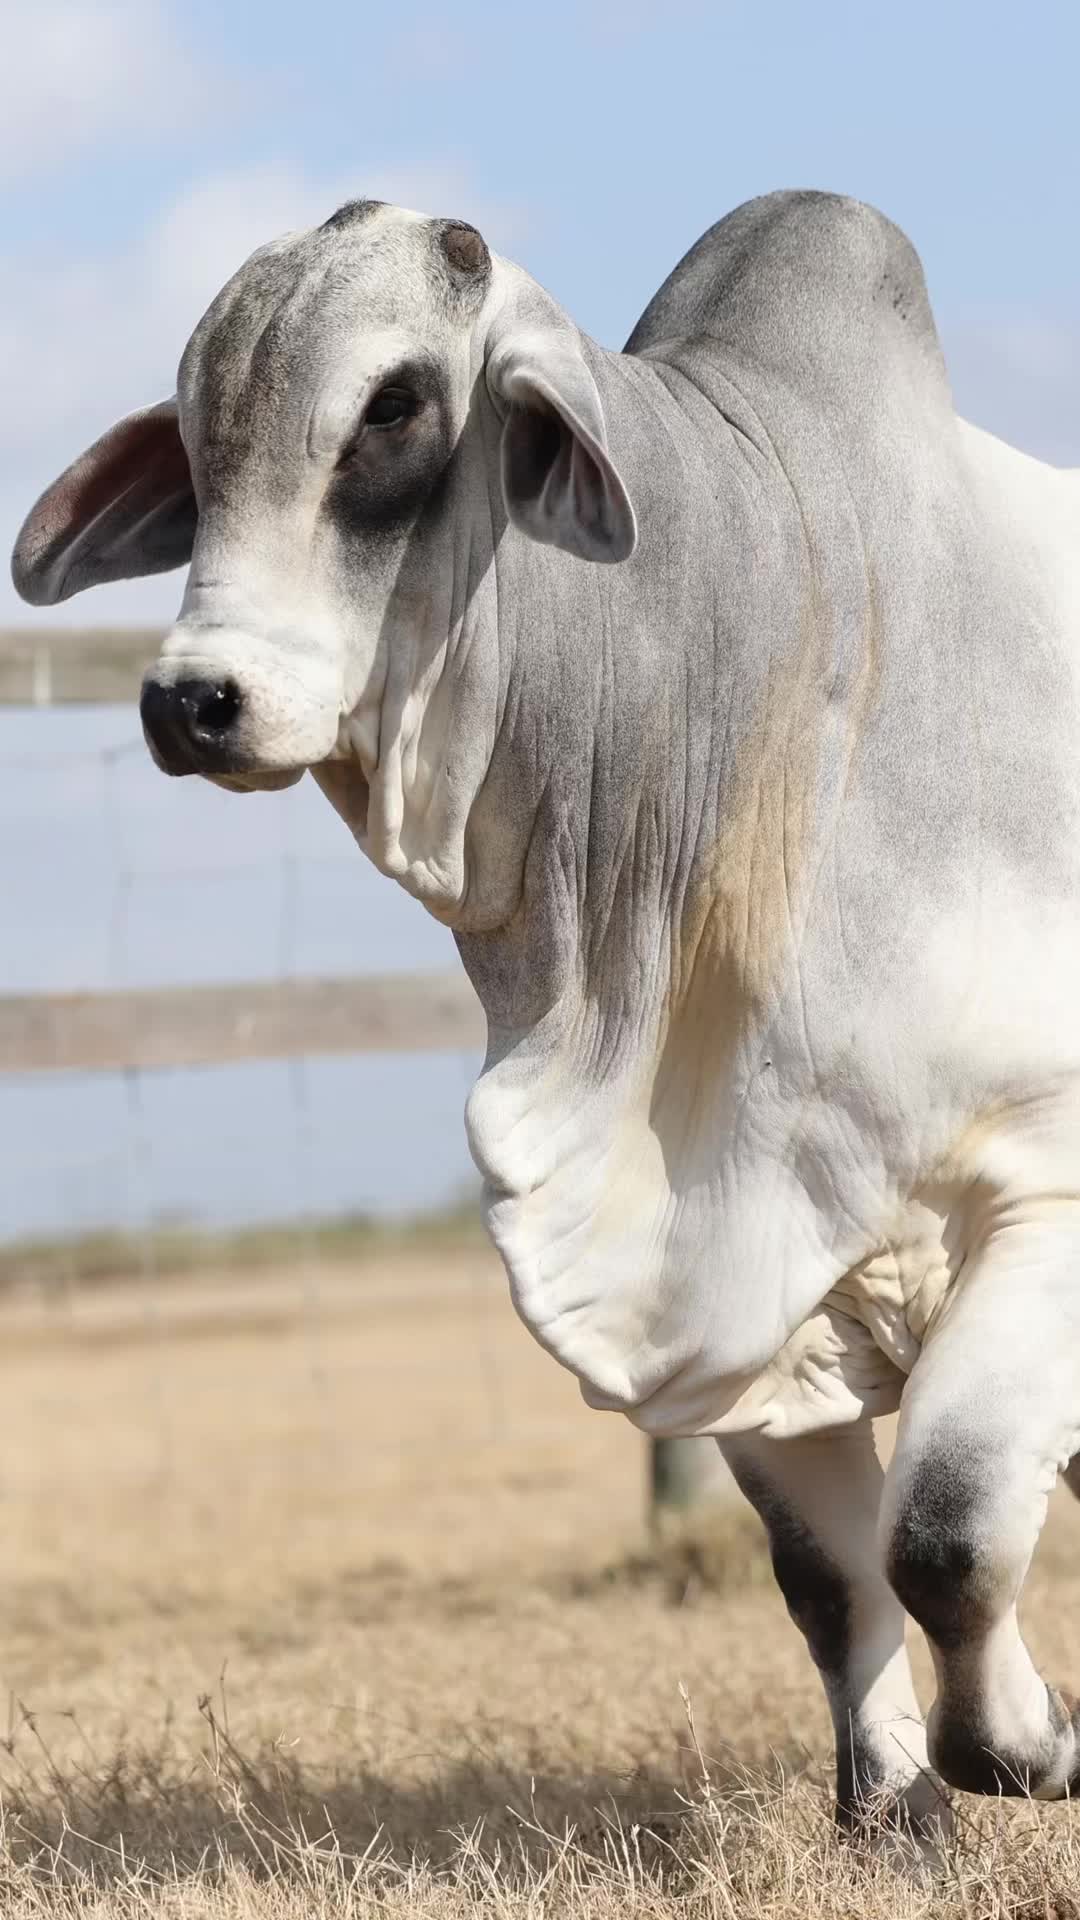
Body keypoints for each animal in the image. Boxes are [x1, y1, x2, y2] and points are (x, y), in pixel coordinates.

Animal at [12, 189, 1080, 1867]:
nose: (191, 701)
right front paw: (894, 1811)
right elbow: (834, 1578)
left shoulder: (1043, 1193)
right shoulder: (735, 1286)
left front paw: (1027, 1747)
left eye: (393, 407)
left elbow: (950, 1531)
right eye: (189, 439)